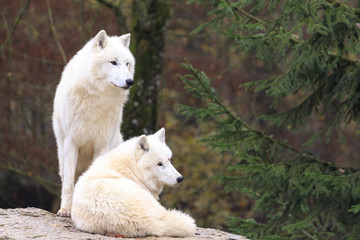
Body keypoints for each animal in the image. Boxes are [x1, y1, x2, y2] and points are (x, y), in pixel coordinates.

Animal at [53, 29, 136, 217]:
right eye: (114, 62)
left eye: (127, 64)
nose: (130, 81)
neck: (97, 99)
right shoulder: (72, 142)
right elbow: (68, 185)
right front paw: (65, 210)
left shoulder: (101, 144)